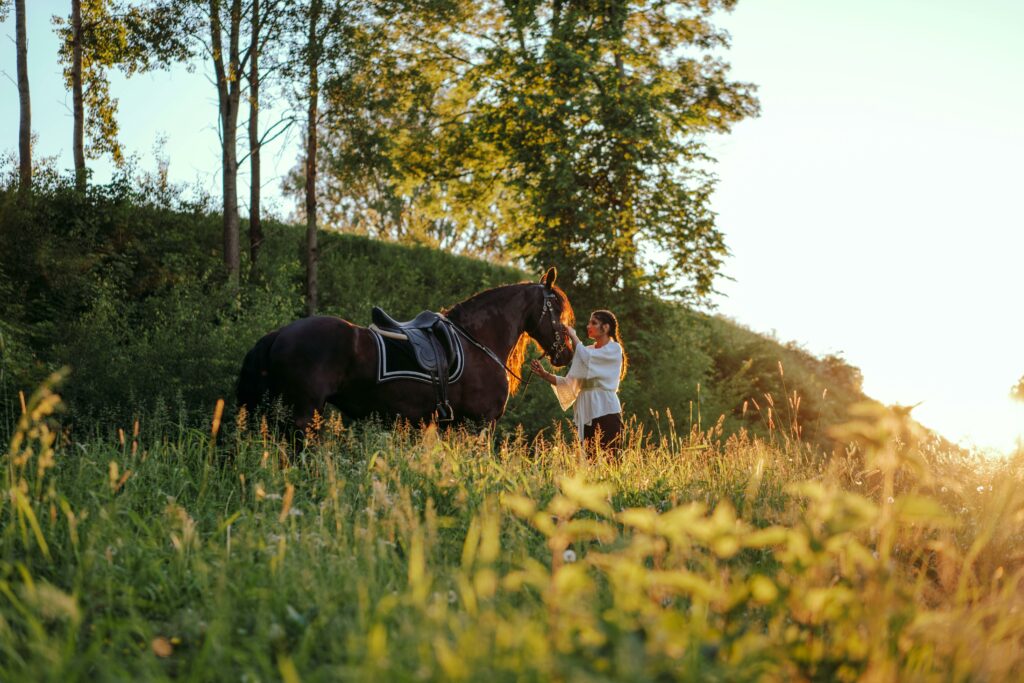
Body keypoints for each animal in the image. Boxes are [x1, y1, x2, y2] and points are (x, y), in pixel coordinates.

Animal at [237, 268, 577, 432]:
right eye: (558, 311)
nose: (567, 354)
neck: (476, 341)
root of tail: (280, 333)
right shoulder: (481, 423)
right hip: (304, 412)